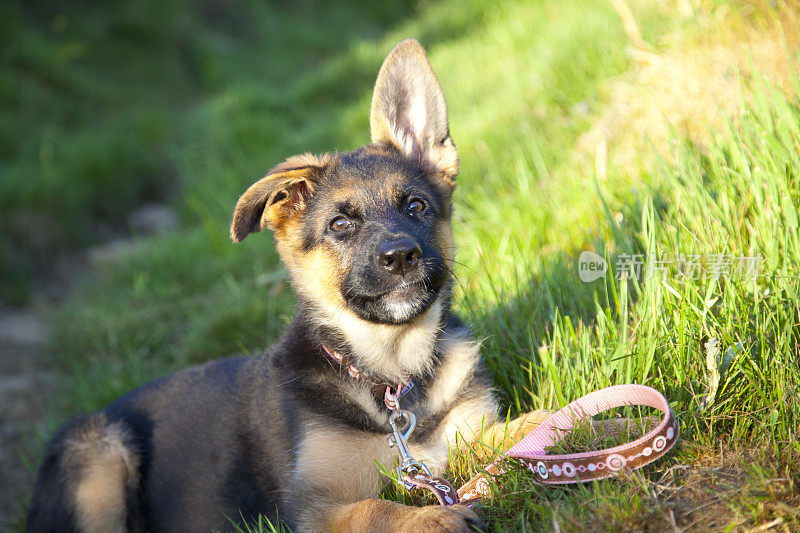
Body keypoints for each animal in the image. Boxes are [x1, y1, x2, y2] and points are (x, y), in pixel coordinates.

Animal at [28, 38, 536, 532]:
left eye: (416, 206)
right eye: (339, 225)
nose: (401, 257)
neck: (390, 375)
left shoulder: (473, 431)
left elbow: (528, 428)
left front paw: (554, 425)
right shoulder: (312, 508)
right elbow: (375, 510)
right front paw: (433, 517)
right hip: (99, 453)